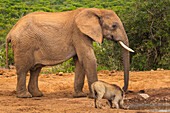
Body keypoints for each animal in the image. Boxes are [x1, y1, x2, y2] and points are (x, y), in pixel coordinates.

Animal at [5, 7, 134, 98]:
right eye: (114, 26)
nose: (123, 89)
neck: (96, 11)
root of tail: (11, 31)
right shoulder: (79, 33)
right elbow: (88, 58)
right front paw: (94, 97)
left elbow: (80, 62)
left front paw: (80, 96)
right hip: (23, 45)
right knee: (23, 70)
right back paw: (25, 96)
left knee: (36, 70)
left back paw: (38, 94)